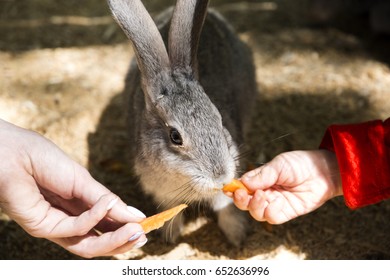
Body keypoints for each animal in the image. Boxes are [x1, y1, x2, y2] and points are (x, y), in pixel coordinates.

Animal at [108, 0, 258, 245]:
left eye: (219, 119)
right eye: (175, 137)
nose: (220, 176)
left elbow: (225, 207)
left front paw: (236, 236)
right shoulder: (163, 194)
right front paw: (171, 236)